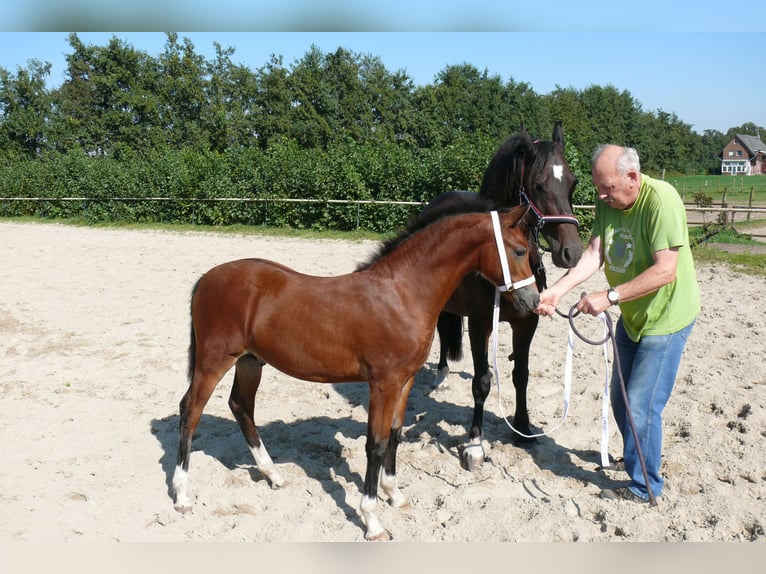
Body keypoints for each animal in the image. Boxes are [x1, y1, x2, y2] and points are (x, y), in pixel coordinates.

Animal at [172, 201, 540, 540]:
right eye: (520, 250)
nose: (533, 302)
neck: (403, 293)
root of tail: (206, 279)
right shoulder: (382, 383)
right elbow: (376, 443)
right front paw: (372, 520)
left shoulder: (405, 381)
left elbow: (395, 434)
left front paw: (395, 495)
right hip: (214, 360)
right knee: (191, 411)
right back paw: (182, 495)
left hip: (250, 361)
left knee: (241, 406)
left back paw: (273, 475)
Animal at [428, 124, 584, 470]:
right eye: (538, 186)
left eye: (572, 182)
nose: (573, 252)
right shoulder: (480, 324)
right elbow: (482, 381)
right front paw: (474, 443)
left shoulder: (526, 322)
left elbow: (520, 375)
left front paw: (523, 428)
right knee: (443, 333)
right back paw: (442, 374)